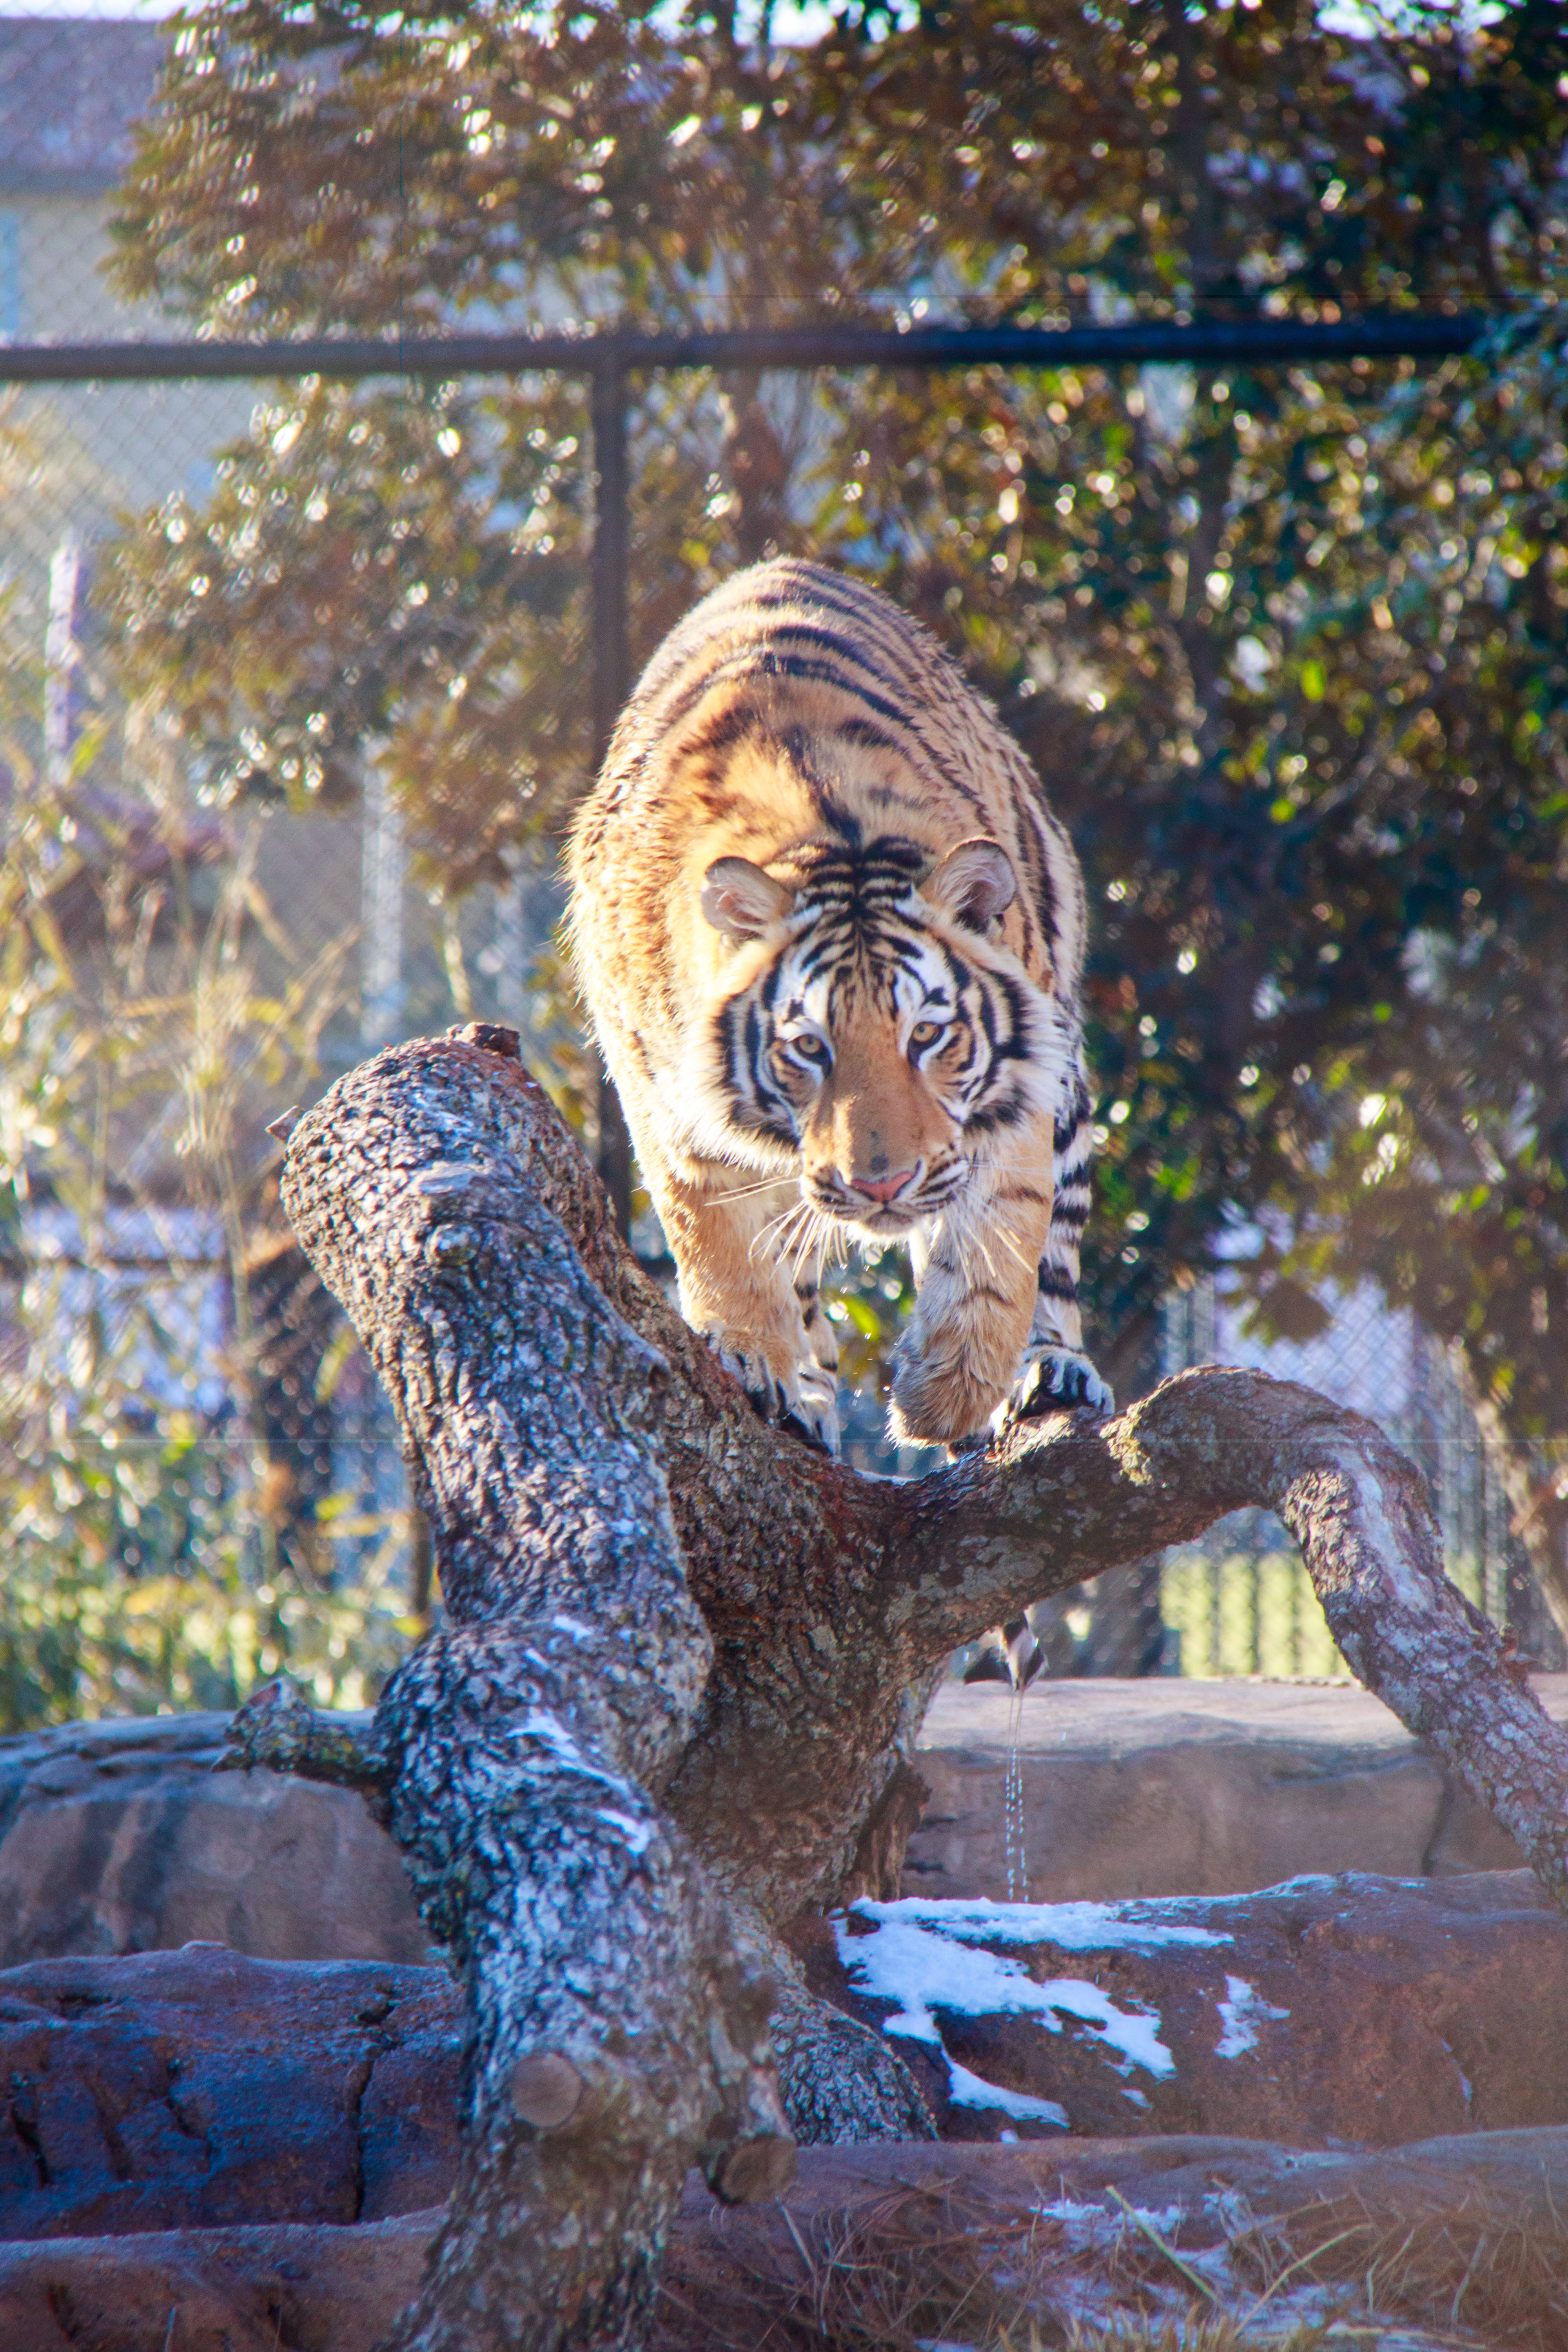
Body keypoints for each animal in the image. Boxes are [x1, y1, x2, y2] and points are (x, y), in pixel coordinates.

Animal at [567, 556, 1113, 1465]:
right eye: (808, 1048)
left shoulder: (1013, 1098)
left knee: (1055, 1250)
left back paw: (1050, 1369)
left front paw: (948, 1392)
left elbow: (1000, 1239)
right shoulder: (662, 1096)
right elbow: (719, 1239)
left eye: (926, 1036)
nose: (882, 1184)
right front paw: (757, 1362)